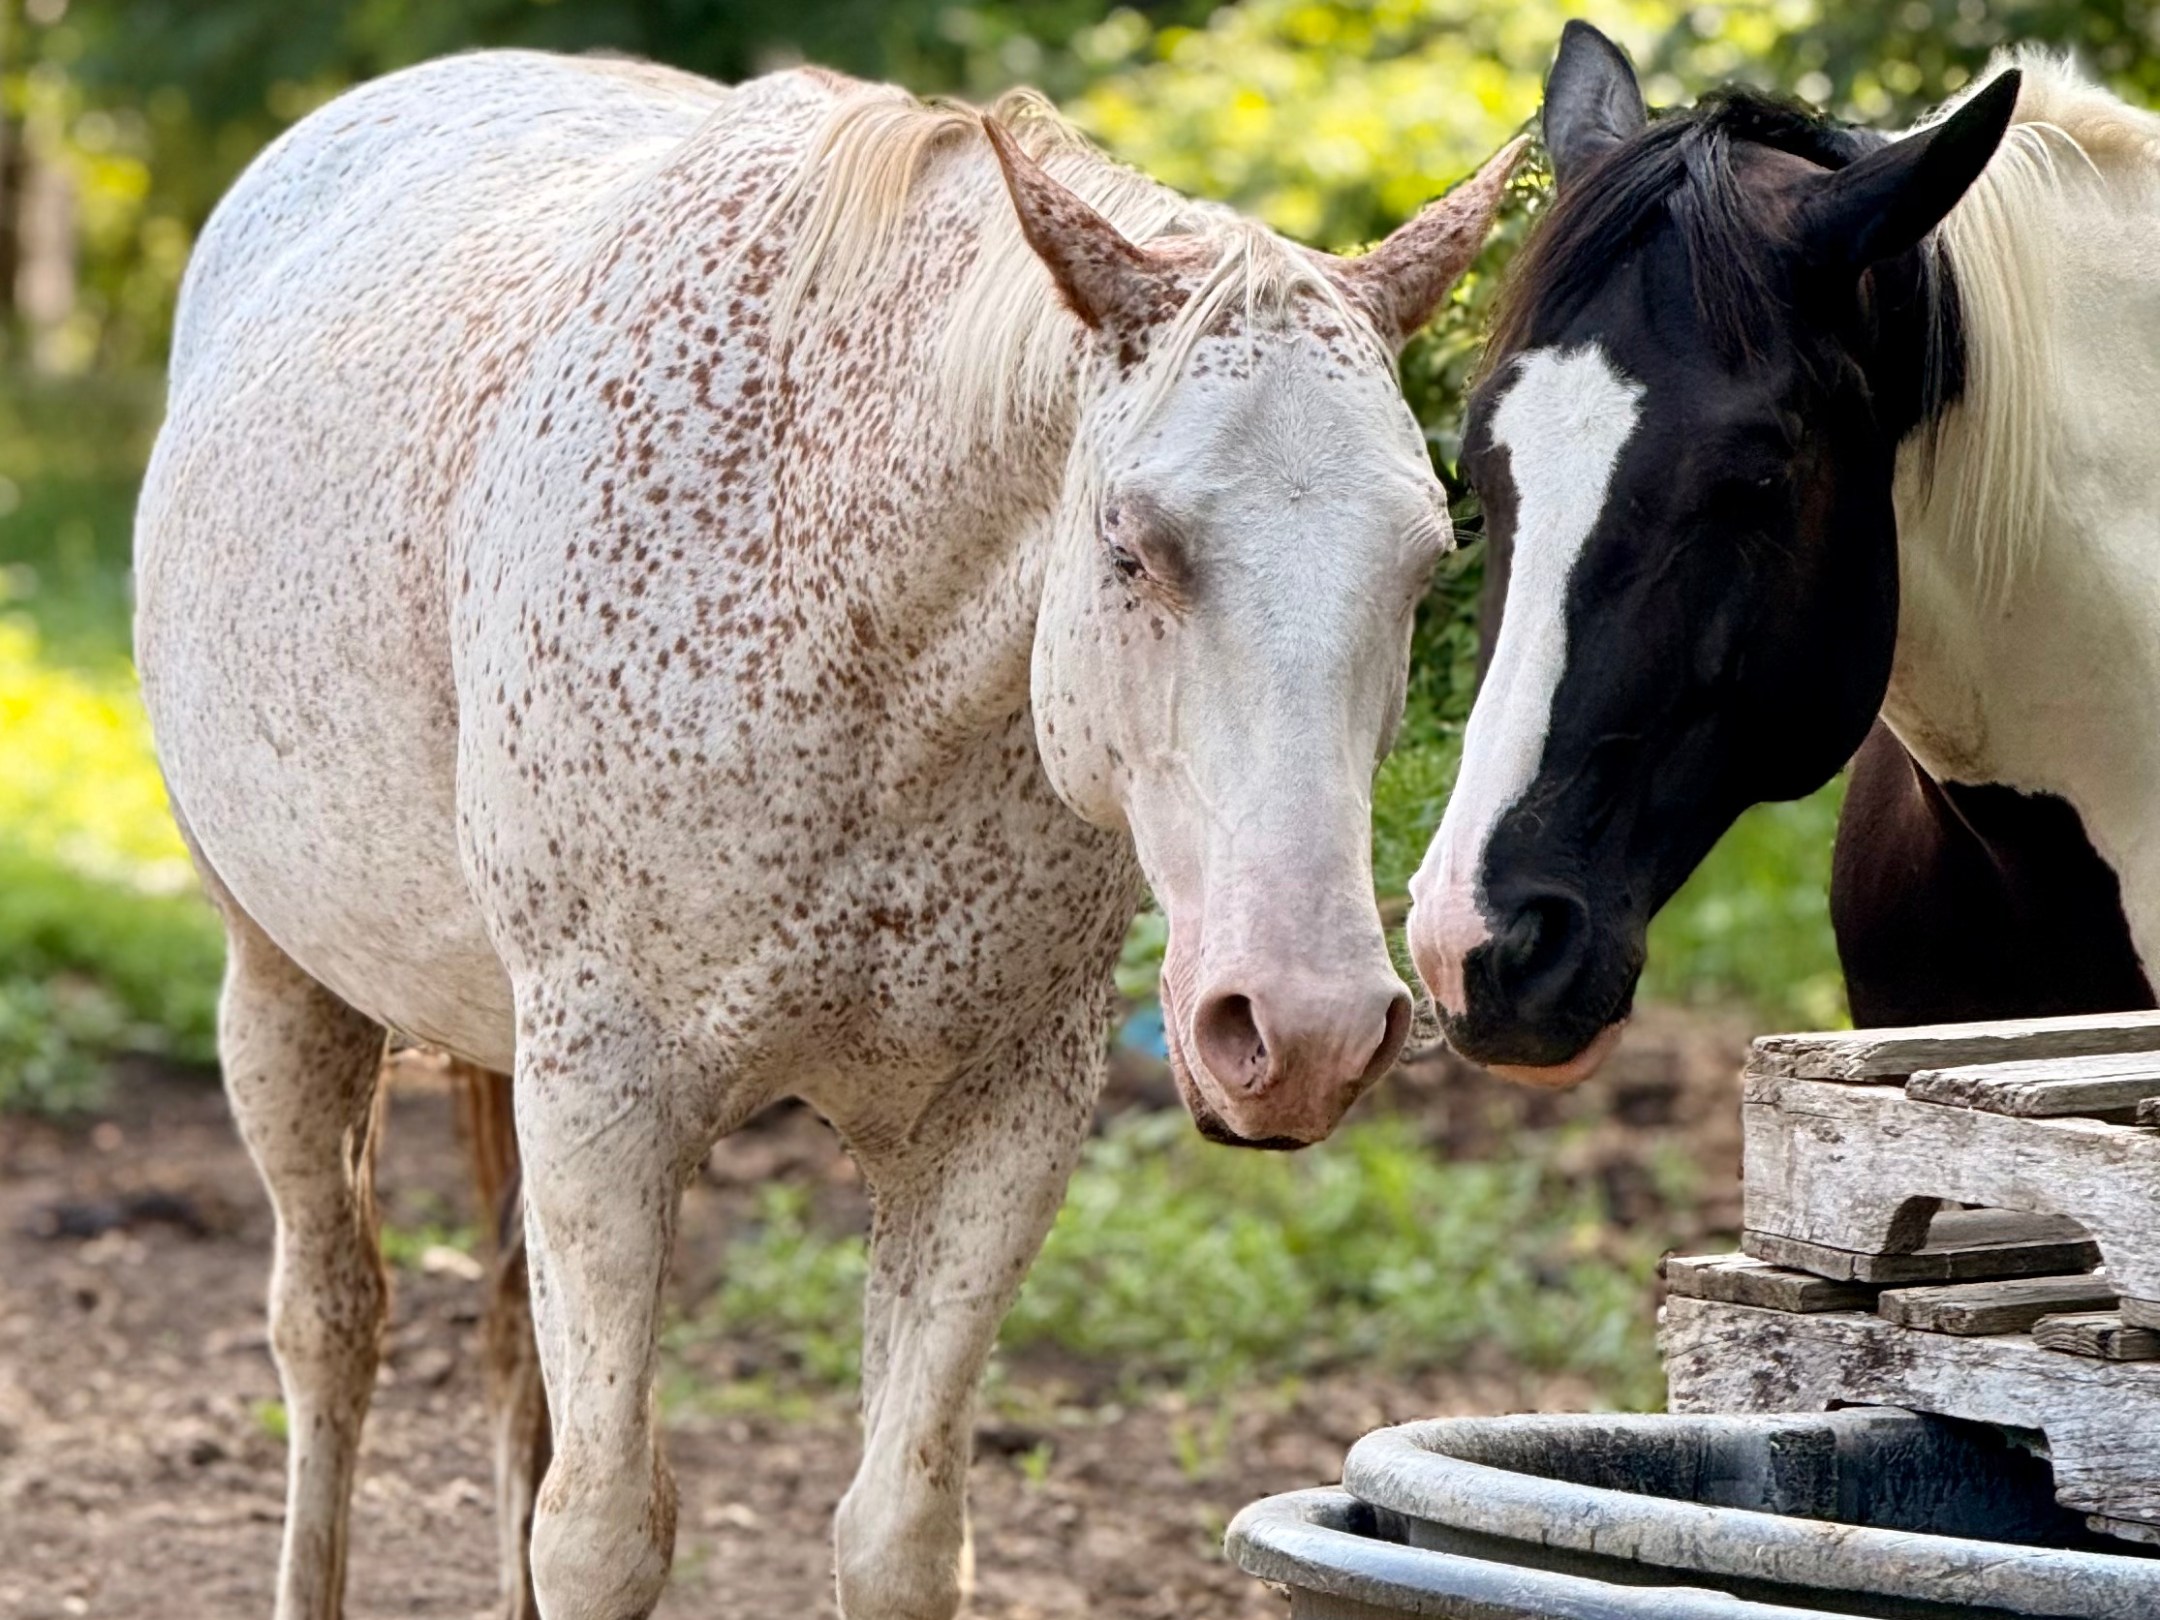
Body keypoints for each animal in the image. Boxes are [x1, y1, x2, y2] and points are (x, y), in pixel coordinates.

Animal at [134, 48, 1519, 1619]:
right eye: (1129, 543)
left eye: (1429, 561)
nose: (1307, 1032)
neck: (852, 651)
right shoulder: (606, 1099)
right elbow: (601, 1531)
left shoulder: (995, 1121)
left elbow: (898, 1532)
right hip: (286, 991)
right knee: (333, 1327)